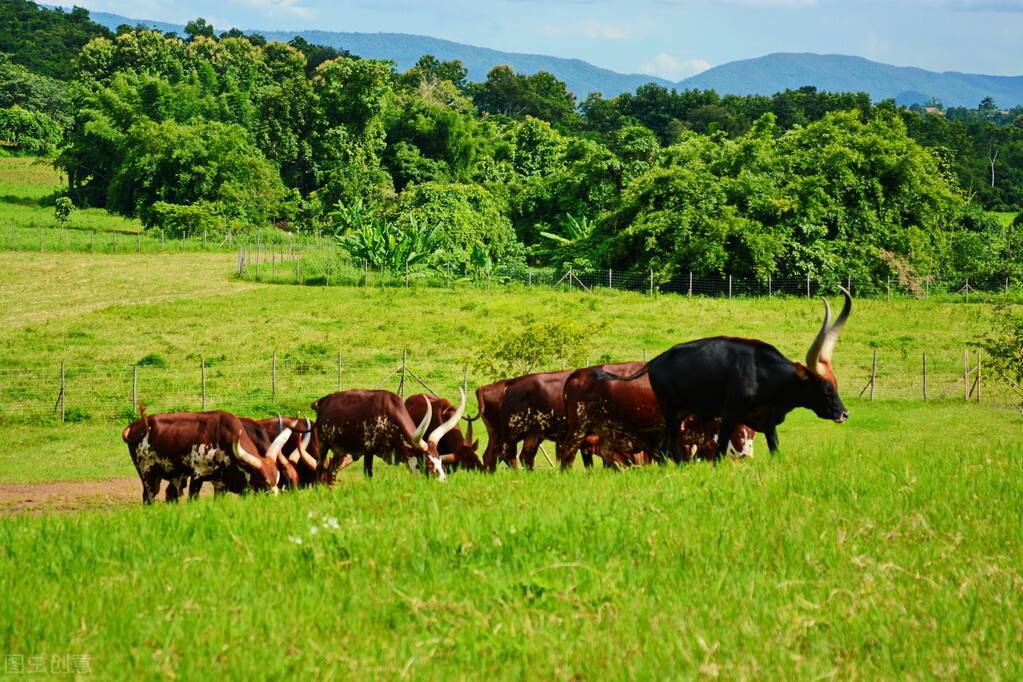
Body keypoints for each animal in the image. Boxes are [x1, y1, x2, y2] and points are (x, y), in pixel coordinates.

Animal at [121, 408, 288, 505]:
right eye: (263, 482)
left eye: (277, 480)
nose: (276, 504)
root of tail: (137, 424)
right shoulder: (198, 476)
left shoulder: (220, 484)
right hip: (147, 472)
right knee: (149, 497)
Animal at [313, 388, 468, 480]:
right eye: (429, 464)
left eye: (441, 462)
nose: (443, 482)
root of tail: (322, 401)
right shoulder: (368, 451)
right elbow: (368, 475)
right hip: (323, 445)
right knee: (319, 469)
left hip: (339, 451)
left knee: (331, 472)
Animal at [601, 288, 851, 464]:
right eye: (826, 389)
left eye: (836, 385)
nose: (844, 413)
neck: (765, 374)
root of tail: (655, 360)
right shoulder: (730, 415)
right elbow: (720, 451)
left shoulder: (768, 422)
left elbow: (775, 449)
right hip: (671, 412)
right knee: (668, 445)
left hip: (679, 413)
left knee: (664, 445)